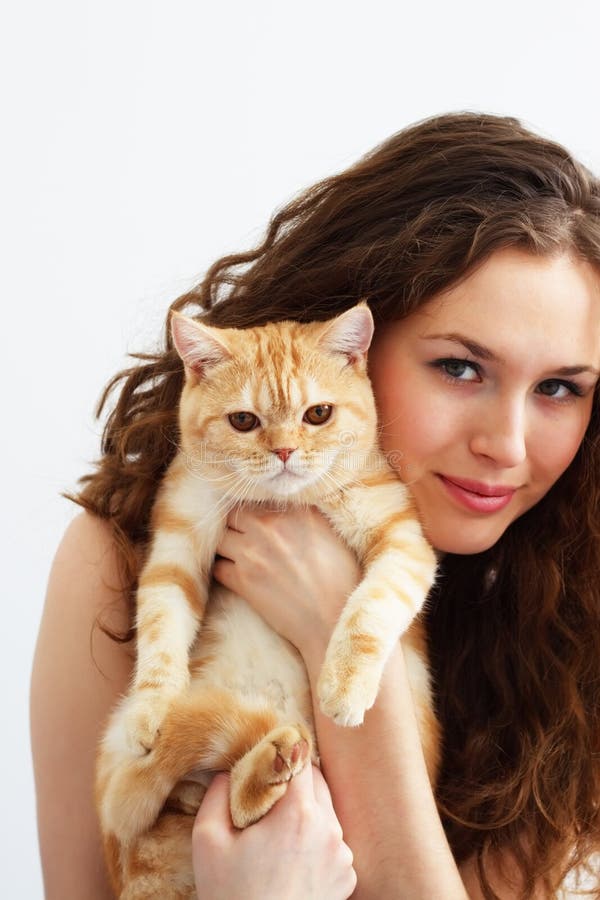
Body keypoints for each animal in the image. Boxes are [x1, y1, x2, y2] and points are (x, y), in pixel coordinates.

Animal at [96, 306, 438, 896]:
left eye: (318, 414)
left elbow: (370, 610)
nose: (283, 451)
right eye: (243, 421)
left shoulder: (402, 542)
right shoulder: (177, 547)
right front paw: (152, 708)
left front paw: (343, 688)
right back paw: (266, 766)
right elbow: (160, 633)